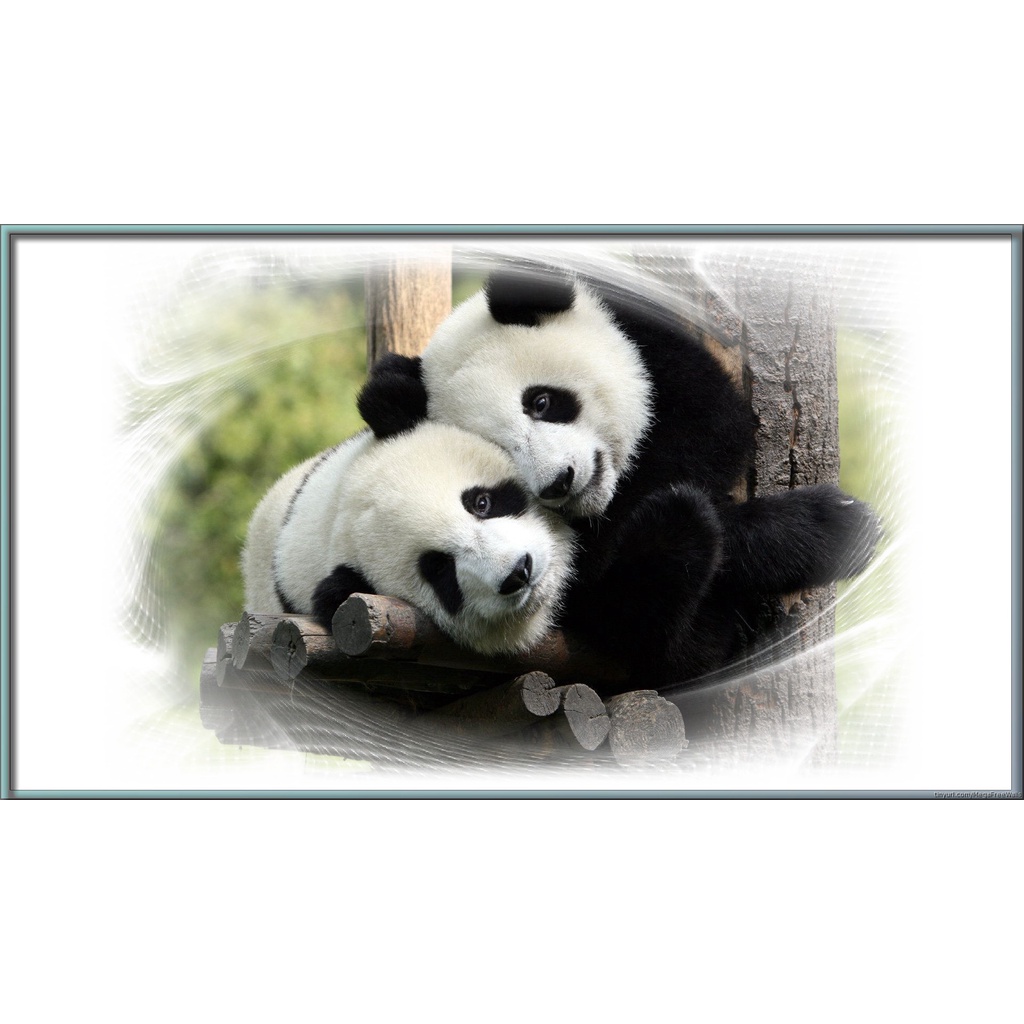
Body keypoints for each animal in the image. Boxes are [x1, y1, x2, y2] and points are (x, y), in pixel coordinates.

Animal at [356, 262, 880, 685]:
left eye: (541, 402)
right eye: (501, 451)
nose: (559, 482)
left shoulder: (659, 357)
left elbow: (712, 426)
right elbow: (601, 585)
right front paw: (826, 526)